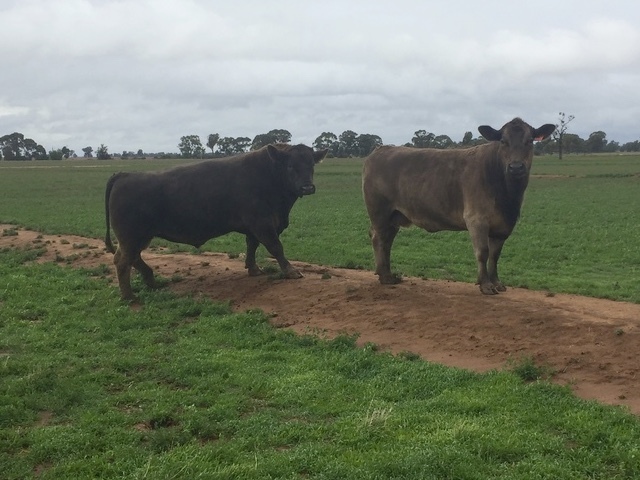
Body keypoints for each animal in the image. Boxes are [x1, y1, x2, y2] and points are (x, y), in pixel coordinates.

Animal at [105, 143, 327, 300]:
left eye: (311, 165)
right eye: (290, 166)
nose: (308, 187)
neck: (270, 175)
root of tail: (124, 175)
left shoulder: (254, 228)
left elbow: (252, 247)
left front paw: (254, 269)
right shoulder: (263, 225)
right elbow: (276, 248)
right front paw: (291, 271)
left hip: (138, 238)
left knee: (131, 258)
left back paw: (151, 280)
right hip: (131, 237)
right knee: (123, 262)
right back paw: (130, 296)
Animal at [362, 118, 555, 295]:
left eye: (529, 141)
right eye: (503, 141)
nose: (516, 167)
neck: (508, 198)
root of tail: (382, 149)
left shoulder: (503, 227)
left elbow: (495, 256)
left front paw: (497, 282)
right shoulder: (476, 219)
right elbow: (483, 252)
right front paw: (485, 284)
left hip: (394, 216)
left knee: (387, 240)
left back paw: (388, 273)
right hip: (380, 212)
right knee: (379, 238)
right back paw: (385, 276)